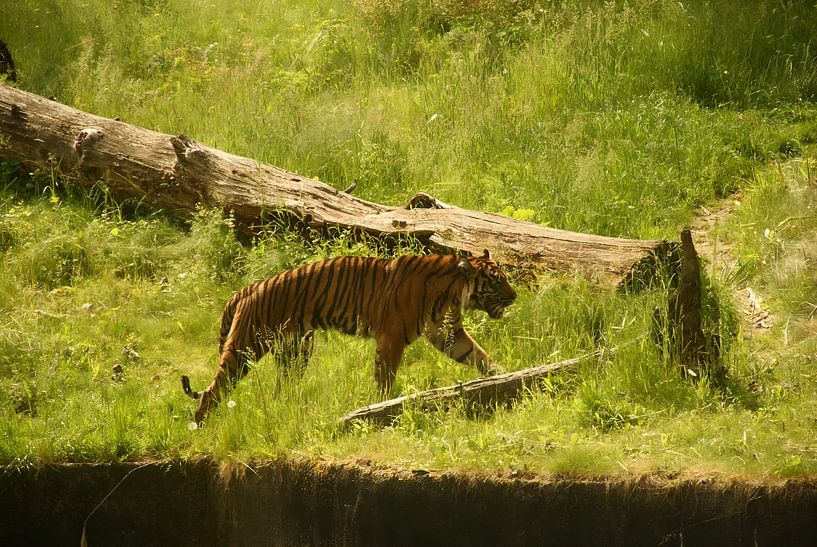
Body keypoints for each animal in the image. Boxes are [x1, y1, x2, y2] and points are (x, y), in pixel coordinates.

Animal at [181, 250, 517, 423]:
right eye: (496, 281)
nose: (515, 296)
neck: (453, 292)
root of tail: (249, 287)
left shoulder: (447, 333)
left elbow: (478, 355)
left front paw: (504, 378)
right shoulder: (392, 337)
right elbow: (385, 377)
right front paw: (382, 407)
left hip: (296, 350)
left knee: (281, 387)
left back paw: (287, 408)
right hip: (245, 348)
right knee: (212, 390)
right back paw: (201, 425)